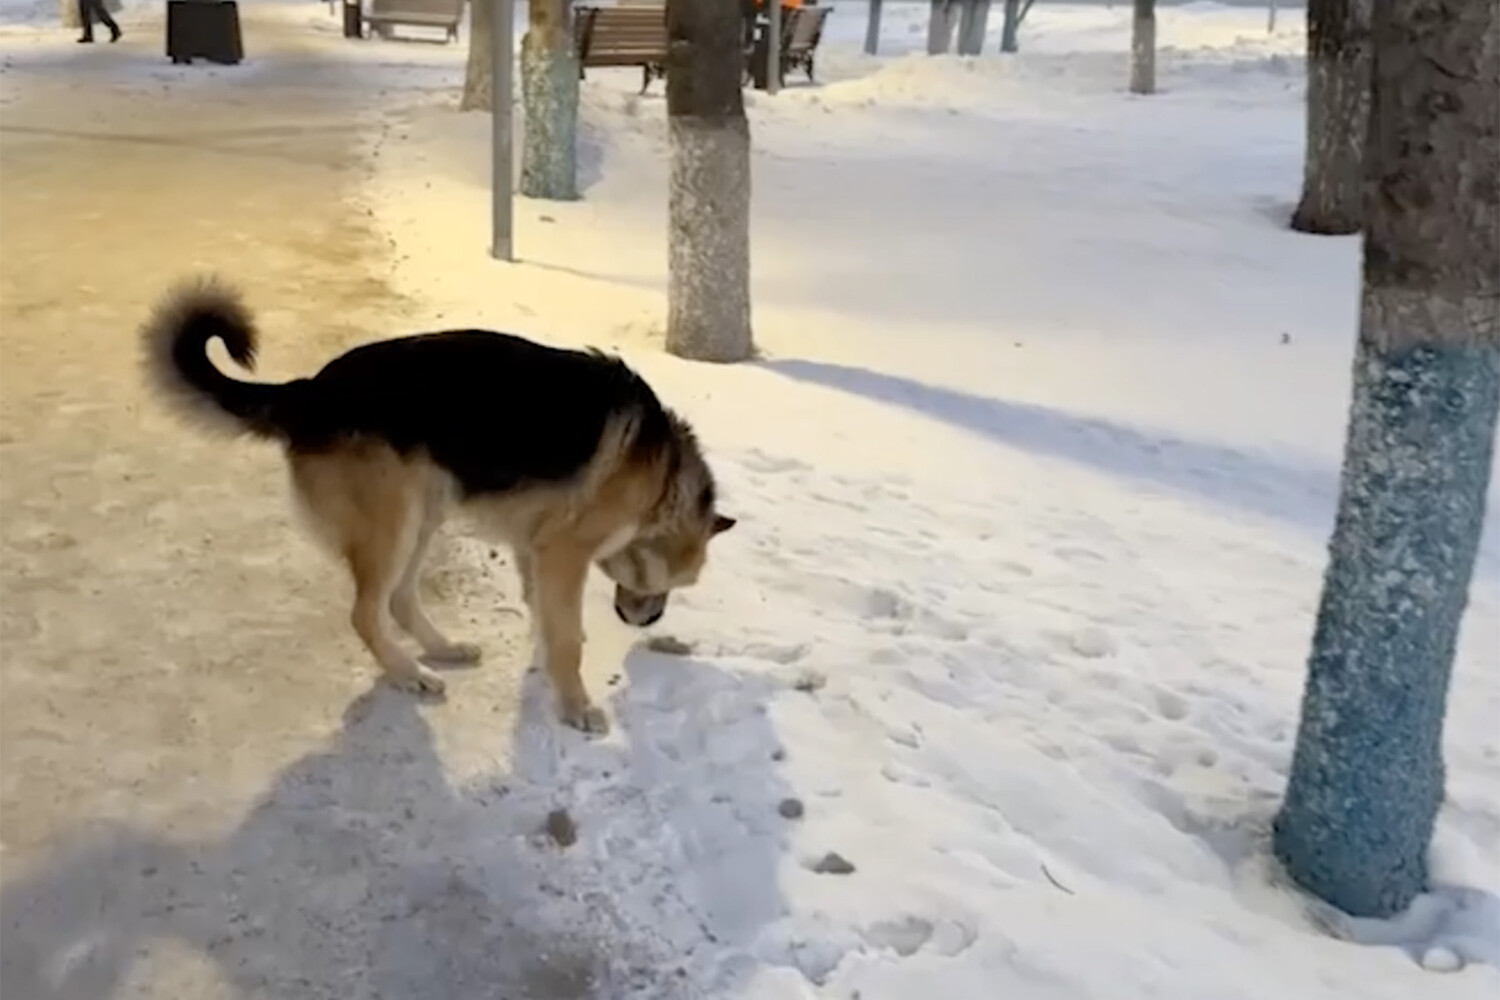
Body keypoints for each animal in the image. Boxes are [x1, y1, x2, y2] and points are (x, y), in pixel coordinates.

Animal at [143, 277, 741, 731]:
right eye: (673, 584)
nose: (648, 619)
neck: (661, 480)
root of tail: (308, 391)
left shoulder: (534, 549)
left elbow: (546, 620)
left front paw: (545, 669)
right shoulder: (563, 554)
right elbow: (568, 636)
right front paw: (575, 705)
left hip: (424, 515)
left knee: (399, 600)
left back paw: (441, 649)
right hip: (396, 523)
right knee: (366, 612)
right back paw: (408, 672)